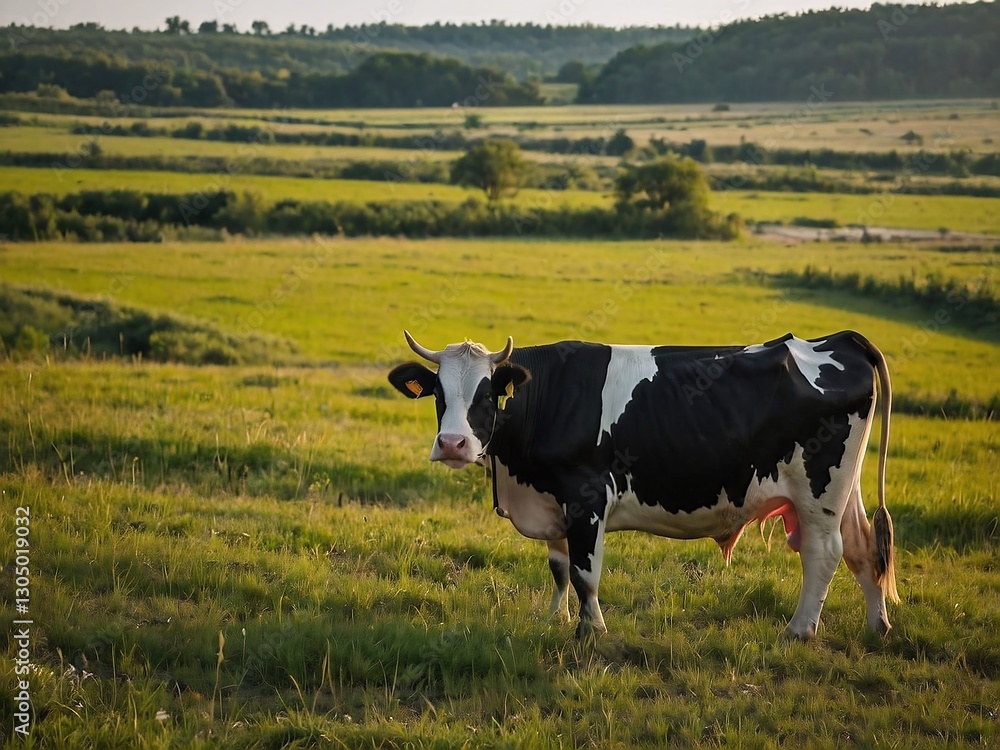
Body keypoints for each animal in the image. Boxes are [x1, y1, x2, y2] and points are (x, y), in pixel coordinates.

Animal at [388, 330, 898, 640]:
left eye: (488, 393)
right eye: (438, 393)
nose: (452, 444)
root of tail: (837, 339)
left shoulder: (586, 496)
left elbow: (584, 572)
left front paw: (590, 631)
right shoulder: (552, 501)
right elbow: (559, 567)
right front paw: (556, 618)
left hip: (818, 491)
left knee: (823, 552)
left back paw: (799, 630)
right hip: (843, 490)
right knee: (862, 545)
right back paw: (877, 626)